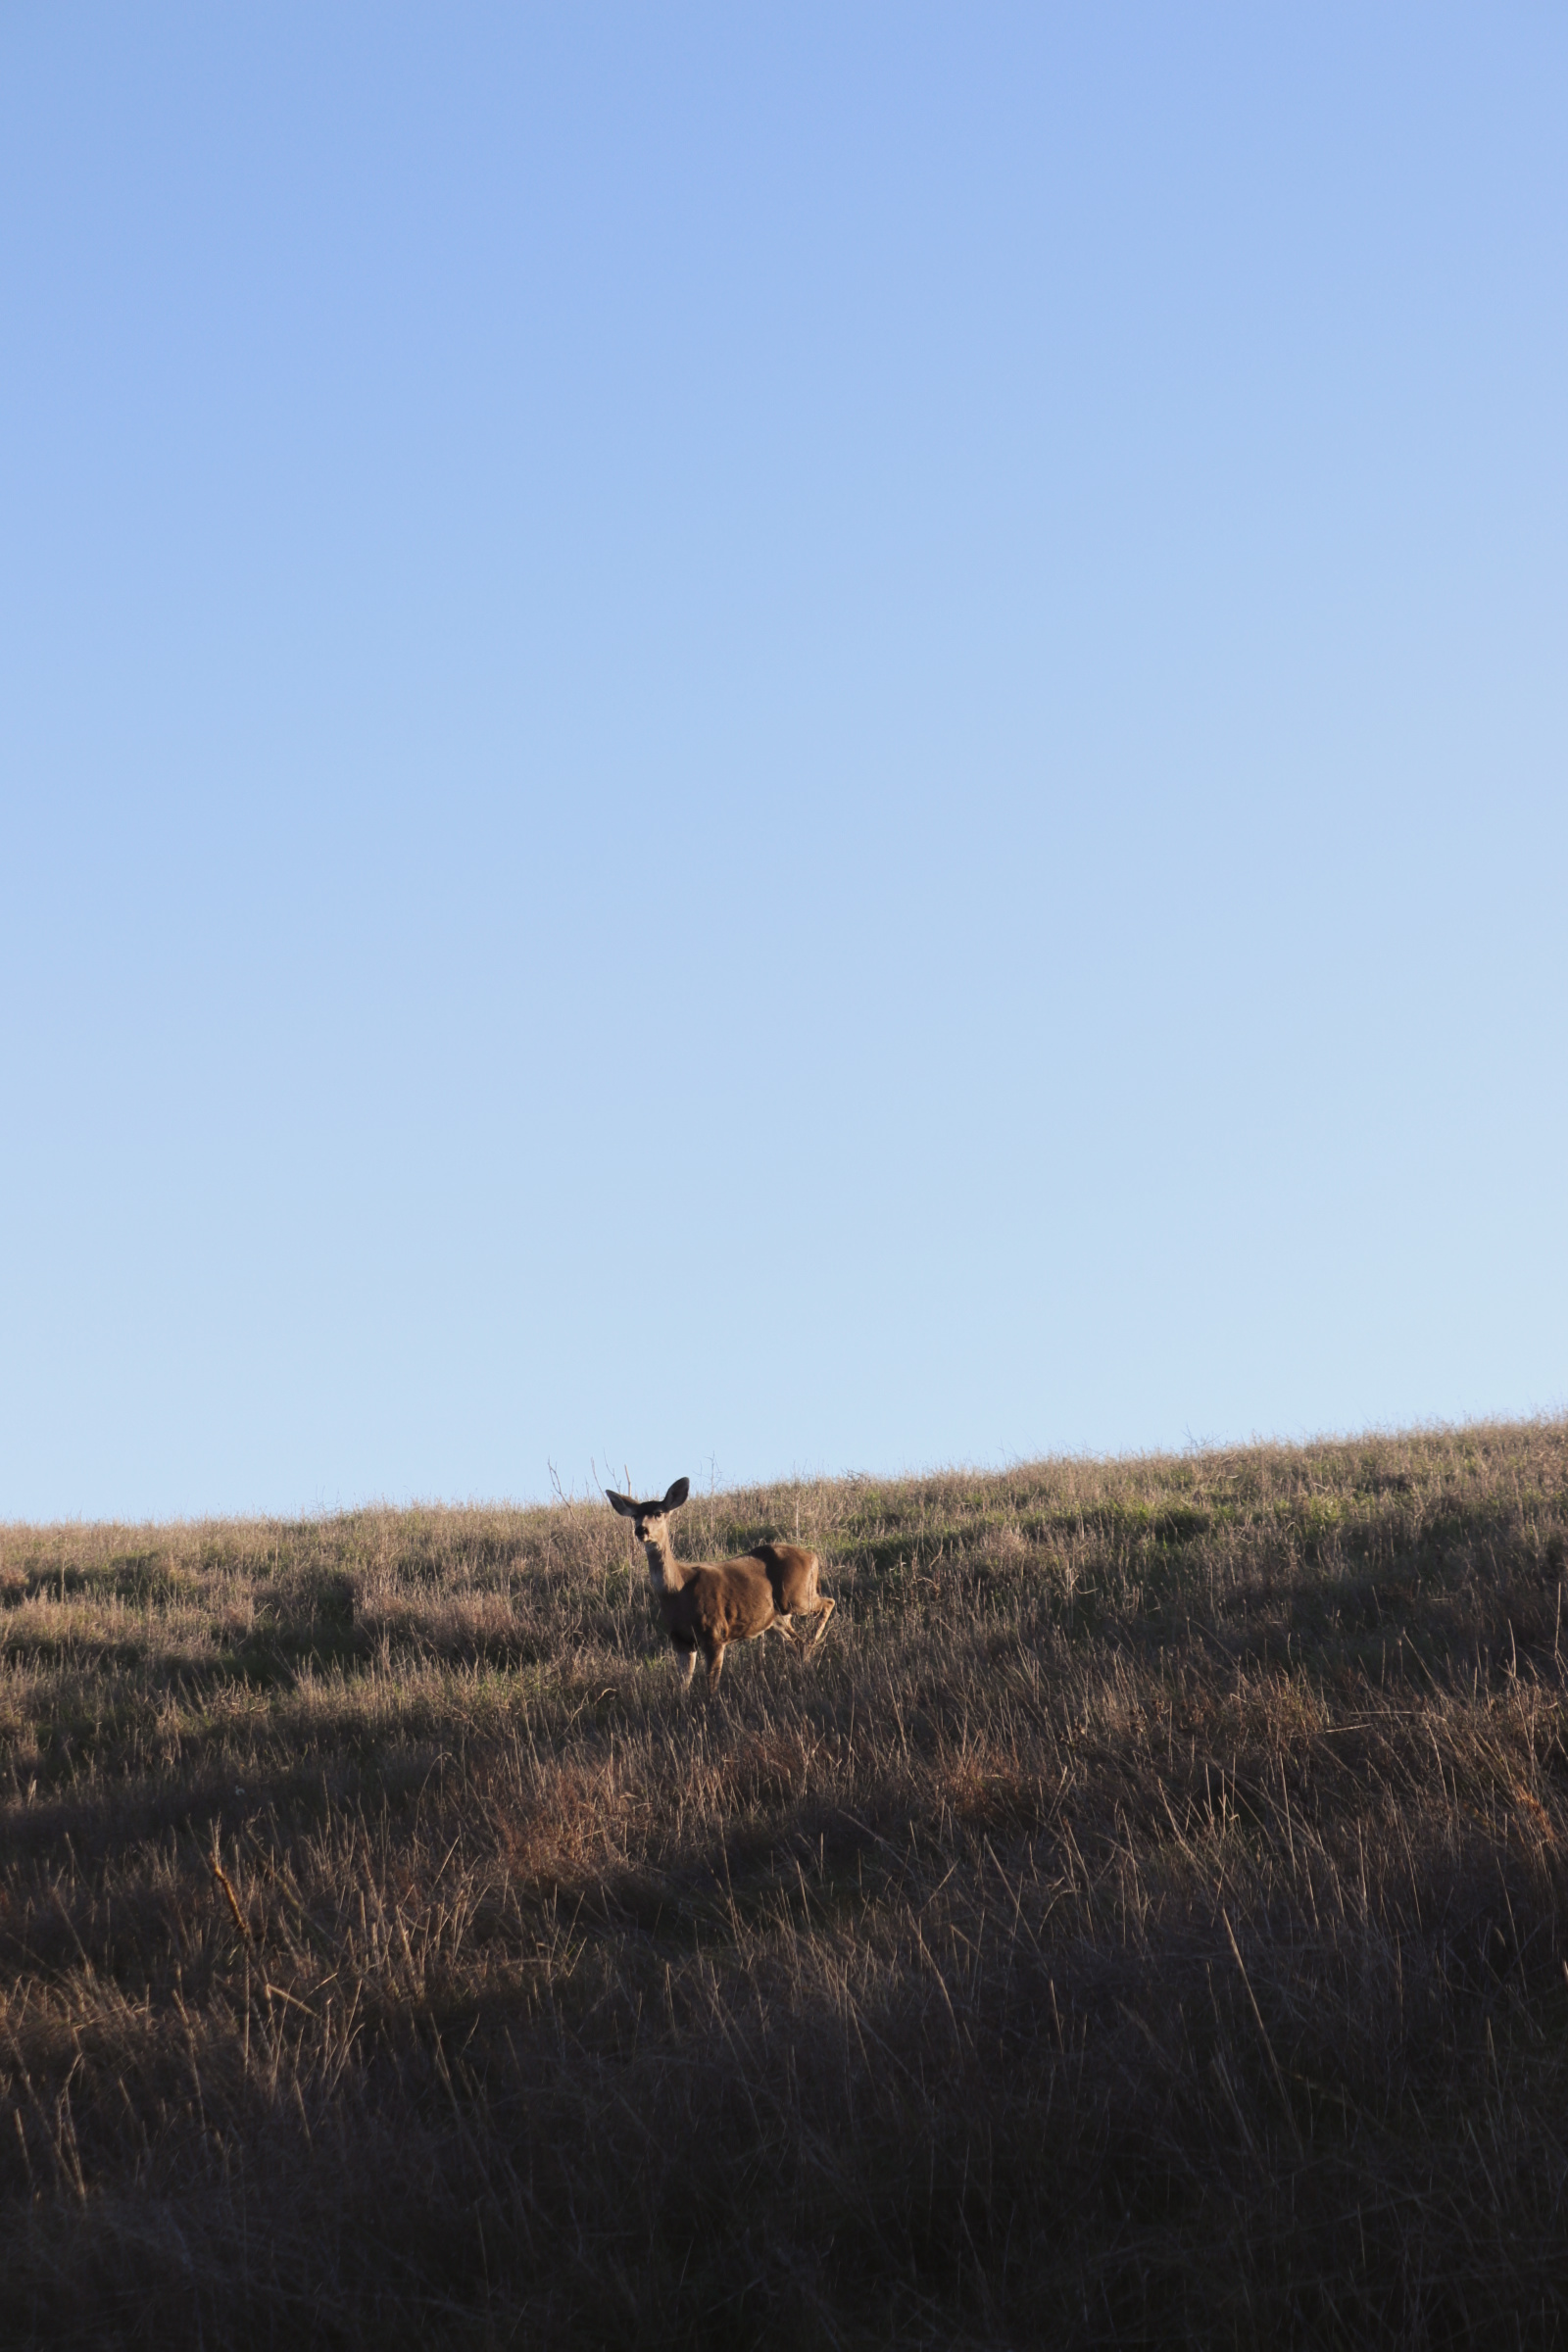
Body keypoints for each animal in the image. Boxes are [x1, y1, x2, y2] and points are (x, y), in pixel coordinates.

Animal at [606, 1477, 835, 1694]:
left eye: (659, 1512)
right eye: (635, 1515)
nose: (641, 1530)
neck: (677, 1592)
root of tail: (813, 1556)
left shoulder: (715, 1634)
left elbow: (711, 1688)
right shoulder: (681, 1641)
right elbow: (683, 1687)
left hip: (797, 1596)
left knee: (828, 1603)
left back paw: (814, 1642)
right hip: (774, 1618)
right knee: (797, 1643)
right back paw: (805, 1663)